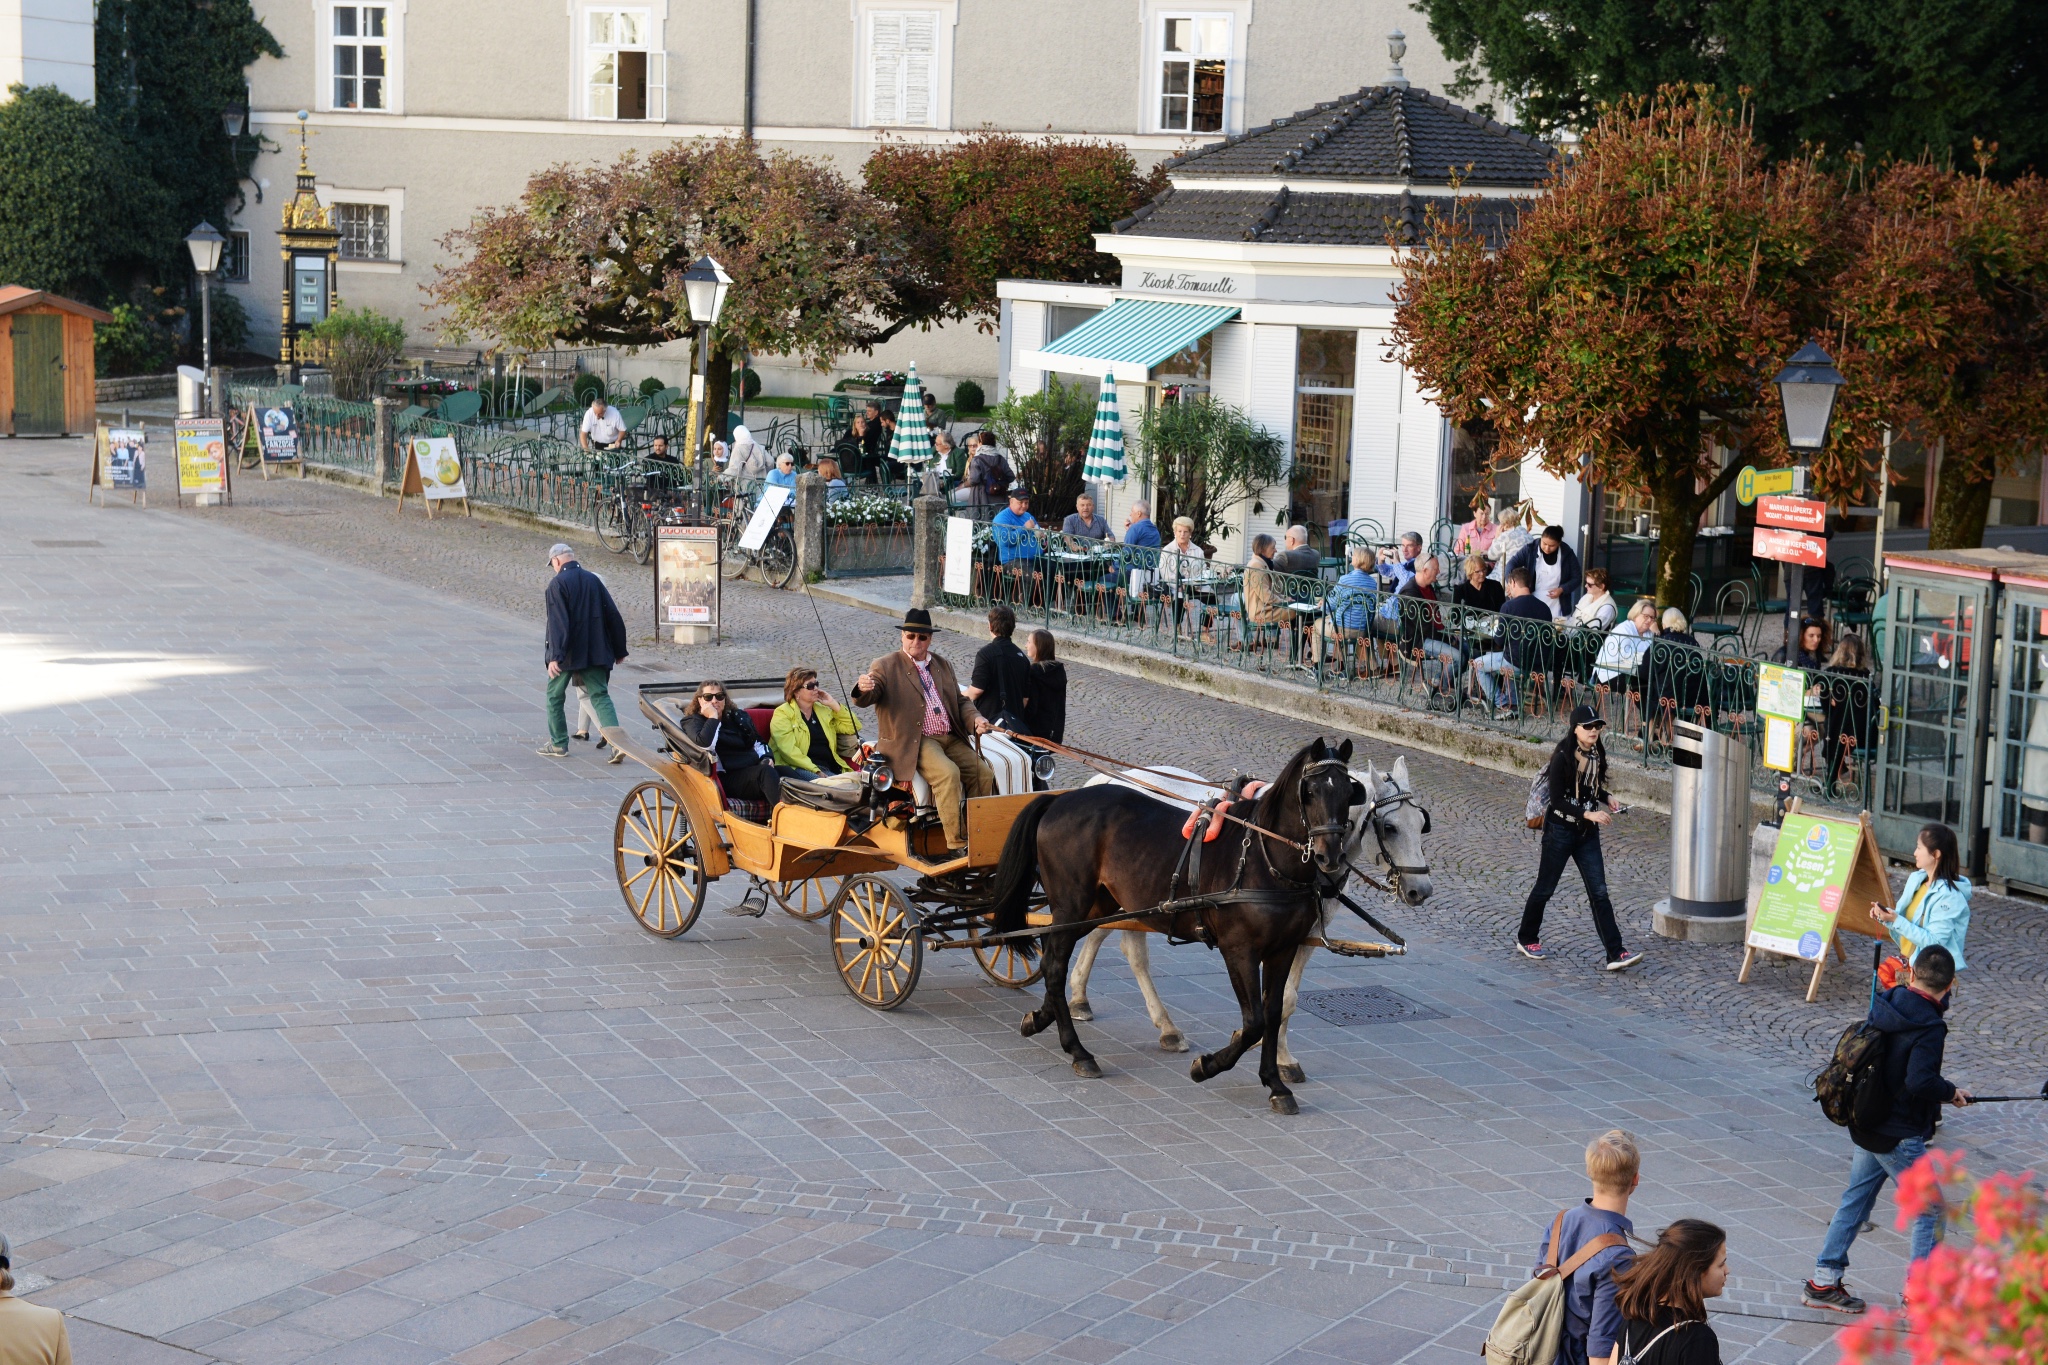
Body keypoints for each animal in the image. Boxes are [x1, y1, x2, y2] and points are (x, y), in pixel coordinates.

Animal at [991, 740, 1359, 1113]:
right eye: (1310, 791)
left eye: (1348, 793)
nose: (1331, 856)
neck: (1262, 860)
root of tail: (1060, 800)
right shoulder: (1238, 950)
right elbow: (1254, 1023)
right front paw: (1208, 1065)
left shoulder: (1282, 950)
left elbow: (1272, 1014)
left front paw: (1274, 1083)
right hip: (1071, 904)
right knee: (1054, 965)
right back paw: (1078, 1050)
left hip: (1095, 906)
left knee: (1053, 958)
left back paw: (1042, 1017)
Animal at [1064, 757, 1433, 1080]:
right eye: (1389, 827)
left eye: (1421, 825)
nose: (1422, 890)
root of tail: (1106, 780)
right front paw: (1254, 1044)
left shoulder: (1303, 936)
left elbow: (1286, 999)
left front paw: (1280, 1058)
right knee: (1126, 947)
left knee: (1110, 938)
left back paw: (1090, 1000)